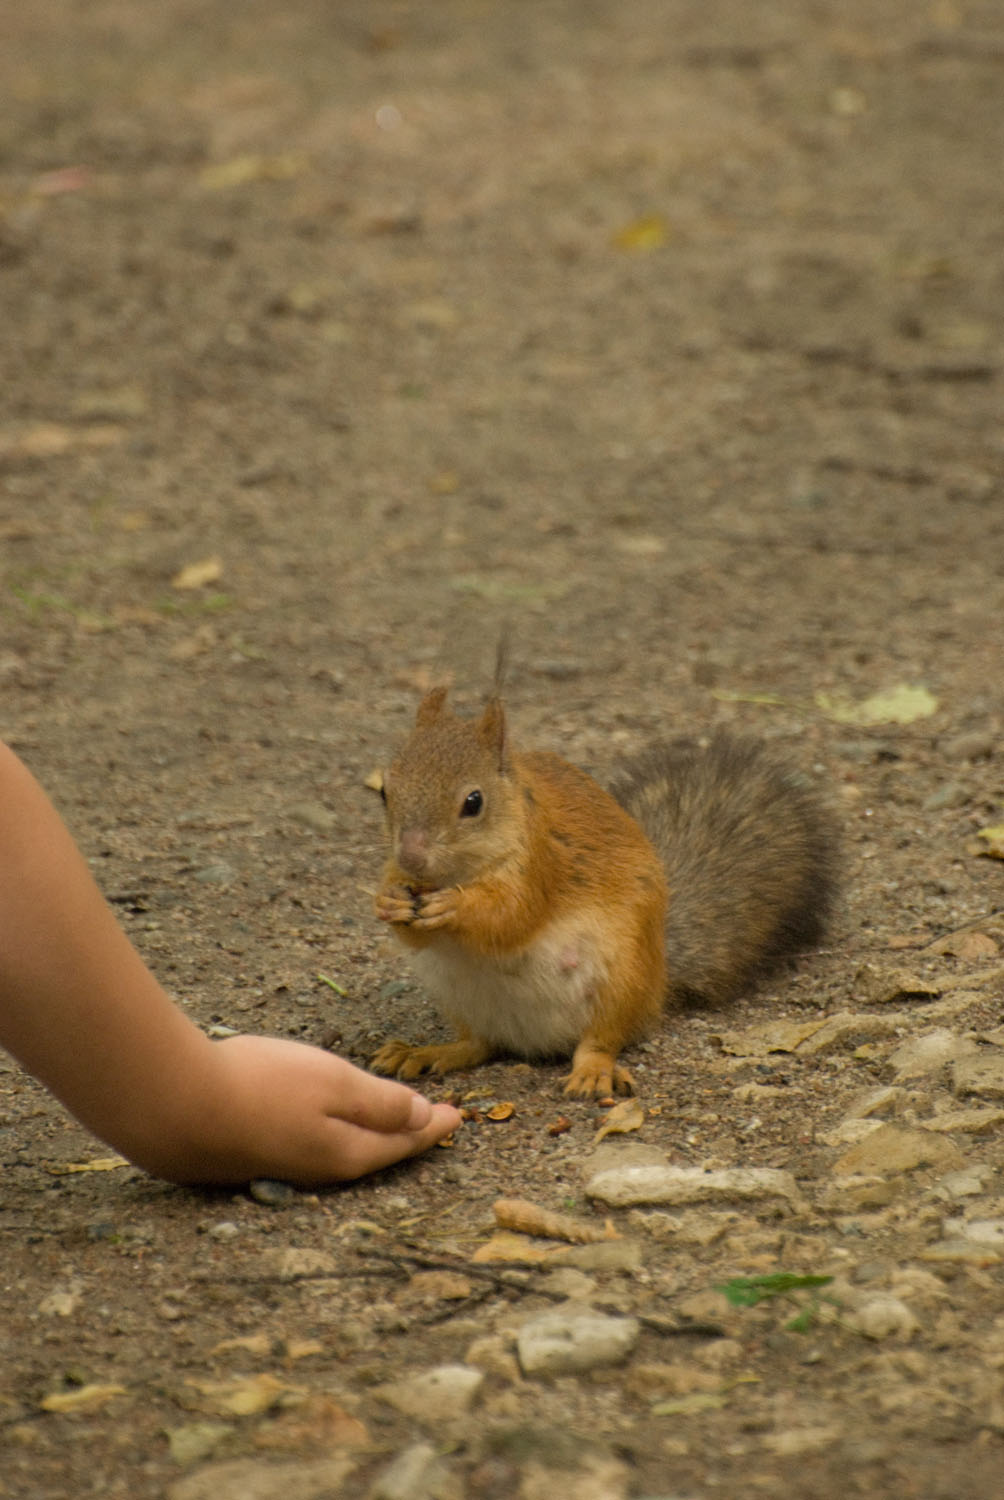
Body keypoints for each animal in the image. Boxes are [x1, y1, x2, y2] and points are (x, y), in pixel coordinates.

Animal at [372, 687, 834, 1098]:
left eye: (473, 802)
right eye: (384, 792)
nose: (411, 856)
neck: (458, 872)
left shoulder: (541, 866)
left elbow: (510, 917)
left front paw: (455, 905)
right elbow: (411, 929)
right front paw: (387, 899)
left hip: (620, 982)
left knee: (601, 1041)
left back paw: (592, 1072)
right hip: (457, 995)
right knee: (477, 1045)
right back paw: (426, 1052)